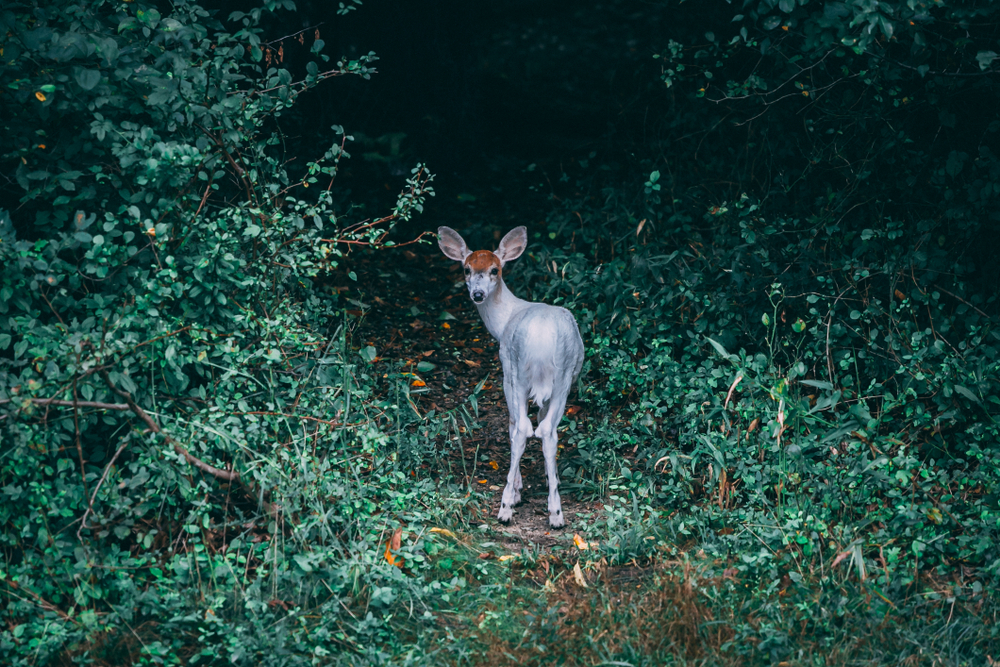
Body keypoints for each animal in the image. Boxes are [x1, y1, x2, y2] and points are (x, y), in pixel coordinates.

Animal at [437, 226, 584, 528]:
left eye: (495, 269)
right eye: (467, 269)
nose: (477, 294)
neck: (504, 319)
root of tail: (541, 342)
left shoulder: (506, 366)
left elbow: (515, 422)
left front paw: (516, 491)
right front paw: (549, 479)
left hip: (518, 372)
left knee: (522, 428)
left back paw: (506, 507)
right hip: (563, 377)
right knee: (547, 430)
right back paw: (556, 513)